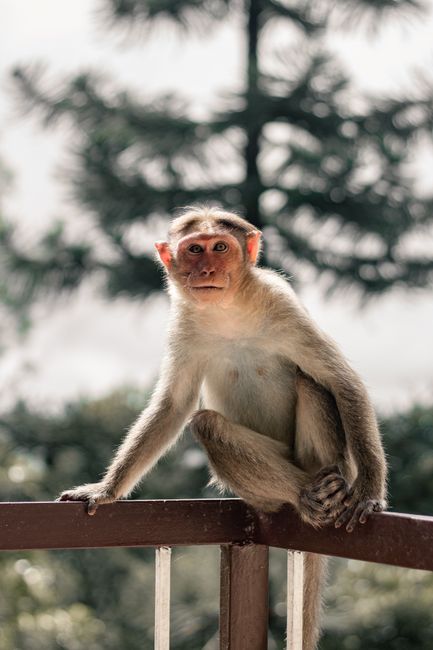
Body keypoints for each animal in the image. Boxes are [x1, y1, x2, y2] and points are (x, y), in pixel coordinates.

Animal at [59, 205, 387, 650]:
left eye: (220, 247)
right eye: (194, 249)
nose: (207, 269)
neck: (228, 309)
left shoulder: (283, 304)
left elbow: (342, 382)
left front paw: (369, 492)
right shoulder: (182, 326)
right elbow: (174, 406)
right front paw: (105, 491)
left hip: (321, 456)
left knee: (310, 382)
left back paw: (329, 488)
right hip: (264, 487)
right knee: (208, 425)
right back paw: (306, 496)